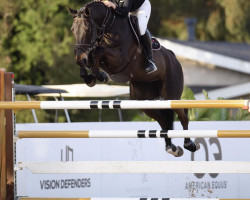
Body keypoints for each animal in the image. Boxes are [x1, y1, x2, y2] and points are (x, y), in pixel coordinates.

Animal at [68, 1, 199, 158]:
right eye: (72, 30)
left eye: (87, 30)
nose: (79, 57)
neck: (109, 26)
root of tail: (173, 57)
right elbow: (92, 56)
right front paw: (91, 77)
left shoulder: (120, 59)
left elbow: (98, 51)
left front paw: (99, 76)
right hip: (144, 100)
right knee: (164, 120)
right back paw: (171, 148)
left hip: (171, 94)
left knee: (183, 115)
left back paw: (189, 144)